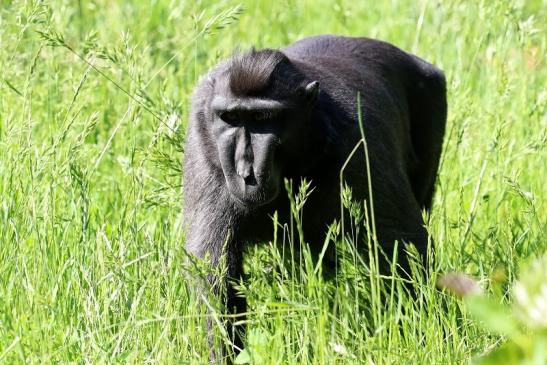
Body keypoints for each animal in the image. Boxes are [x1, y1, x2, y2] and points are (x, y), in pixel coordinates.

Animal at [185, 34, 450, 362]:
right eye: (230, 117)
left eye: (263, 117)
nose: (246, 171)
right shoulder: (202, 137)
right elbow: (215, 267)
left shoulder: (357, 142)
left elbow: (402, 247)